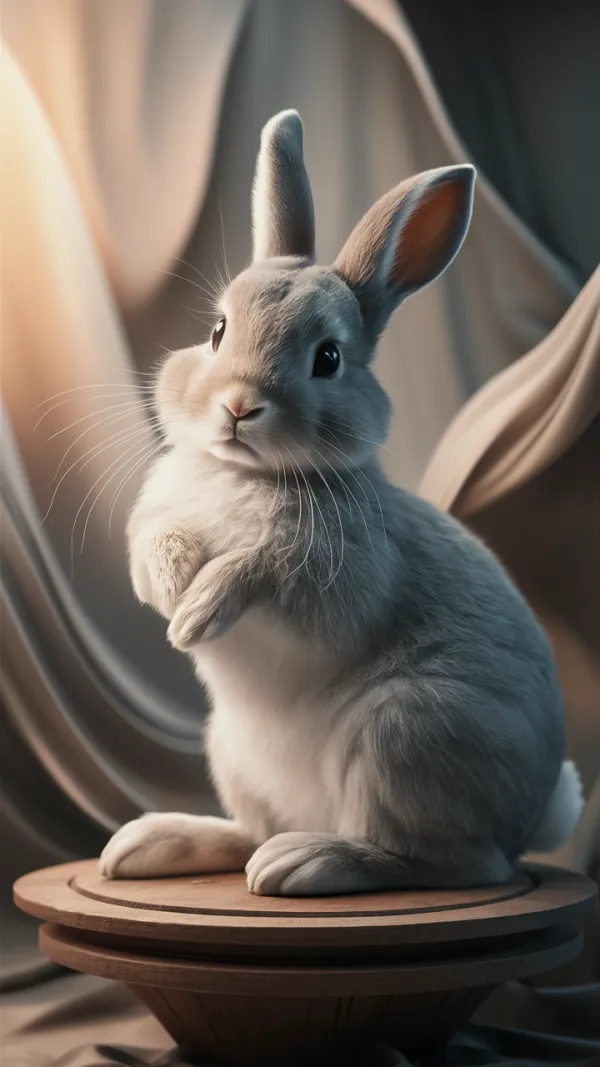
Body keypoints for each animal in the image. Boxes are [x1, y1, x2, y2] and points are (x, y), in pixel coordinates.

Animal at [100, 110, 583, 895]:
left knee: (457, 864)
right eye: (217, 331)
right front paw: (175, 594)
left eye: (327, 358)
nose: (238, 406)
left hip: (405, 732)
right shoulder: (156, 520)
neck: (250, 473)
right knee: (252, 831)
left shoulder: (338, 572)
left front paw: (200, 611)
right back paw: (152, 845)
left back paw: (307, 862)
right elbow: (155, 547)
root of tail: (535, 816)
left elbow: (262, 572)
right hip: (233, 751)